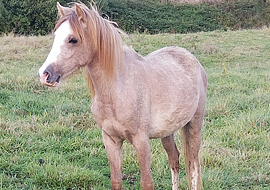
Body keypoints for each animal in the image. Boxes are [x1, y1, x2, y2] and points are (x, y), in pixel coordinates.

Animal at [37, 2, 207, 189]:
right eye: (55, 36)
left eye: (73, 39)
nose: (44, 74)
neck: (117, 92)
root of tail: (192, 59)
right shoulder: (111, 140)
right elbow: (116, 180)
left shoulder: (141, 142)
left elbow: (147, 182)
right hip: (167, 131)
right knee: (174, 160)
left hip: (194, 126)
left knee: (193, 165)